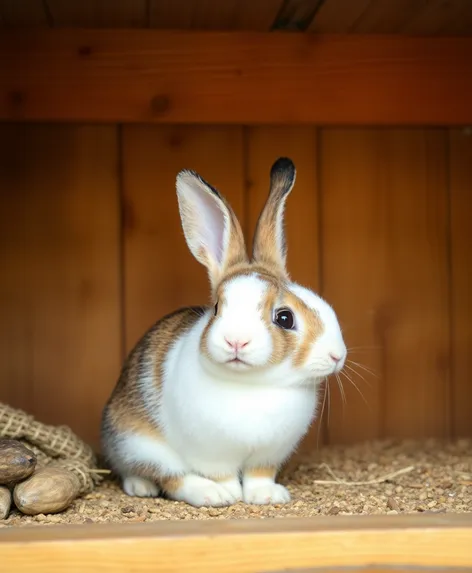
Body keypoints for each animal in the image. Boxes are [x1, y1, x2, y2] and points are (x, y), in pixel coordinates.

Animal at [101, 156, 346, 504]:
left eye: (284, 317)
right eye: (217, 308)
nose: (236, 341)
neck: (255, 383)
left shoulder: (267, 455)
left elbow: (259, 475)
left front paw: (267, 496)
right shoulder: (211, 454)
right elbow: (221, 474)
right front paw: (228, 493)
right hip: (137, 442)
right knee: (166, 476)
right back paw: (195, 493)